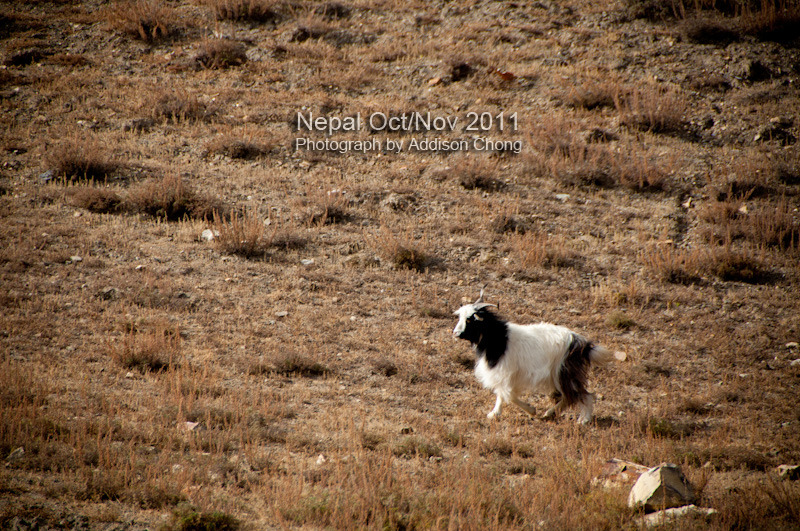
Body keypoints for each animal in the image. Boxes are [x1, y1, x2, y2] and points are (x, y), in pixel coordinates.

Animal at [454, 288, 616, 426]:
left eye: (470, 320)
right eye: (460, 317)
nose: (455, 333)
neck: (500, 339)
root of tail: (580, 343)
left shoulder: (506, 372)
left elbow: (508, 395)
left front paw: (531, 410)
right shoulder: (503, 374)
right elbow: (501, 393)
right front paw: (494, 414)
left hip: (564, 373)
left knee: (582, 395)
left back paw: (583, 420)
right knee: (569, 397)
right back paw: (550, 414)